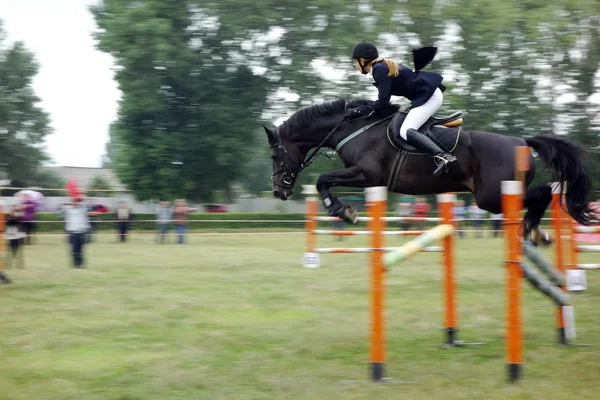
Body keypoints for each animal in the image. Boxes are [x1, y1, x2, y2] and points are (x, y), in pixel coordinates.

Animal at [266, 99, 596, 241]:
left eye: (275, 155)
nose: (278, 191)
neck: (352, 127)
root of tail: (521, 141)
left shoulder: (367, 175)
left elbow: (323, 180)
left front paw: (343, 211)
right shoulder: (367, 179)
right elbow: (325, 181)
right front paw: (344, 211)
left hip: (489, 197)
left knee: (543, 193)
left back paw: (532, 229)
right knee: (541, 195)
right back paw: (536, 231)